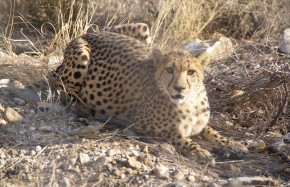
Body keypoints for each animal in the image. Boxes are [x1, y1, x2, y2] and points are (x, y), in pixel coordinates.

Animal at [55, 23, 249, 160]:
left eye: (191, 72)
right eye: (169, 70)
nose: (179, 88)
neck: (189, 101)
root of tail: (90, 32)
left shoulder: (199, 123)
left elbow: (210, 130)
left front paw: (231, 143)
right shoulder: (139, 123)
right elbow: (176, 134)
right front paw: (197, 150)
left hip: (143, 28)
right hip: (81, 57)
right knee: (60, 84)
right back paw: (83, 109)